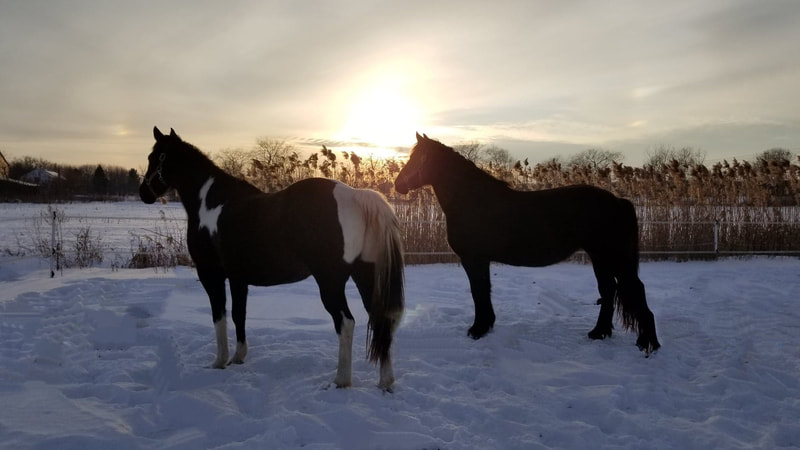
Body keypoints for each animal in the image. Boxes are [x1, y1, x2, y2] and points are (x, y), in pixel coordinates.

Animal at [138, 127, 406, 390]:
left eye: (154, 157)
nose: (143, 193)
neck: (209, 203)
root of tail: (355, 196)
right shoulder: (238, 278)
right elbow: (239, 314)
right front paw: (238, 357)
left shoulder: (211, 275)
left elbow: (219, 316)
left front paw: (220, 361)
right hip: (365, 275)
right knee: (380, 318)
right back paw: (385, 382)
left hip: (330, 281)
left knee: (346, 323)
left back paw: (341, 379)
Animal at [396, 133, 664, 356]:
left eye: (418, 159)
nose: (398, 185)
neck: (473, 201)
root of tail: (618, 201)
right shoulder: (481, 260)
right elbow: (484, 291)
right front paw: (486, 325)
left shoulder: (473, 259)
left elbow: (478, 292)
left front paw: (477, 329)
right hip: (599, 257)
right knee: (608, 291)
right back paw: (599, 333)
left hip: (614, 257)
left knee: (635, 289)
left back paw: (647, 343)